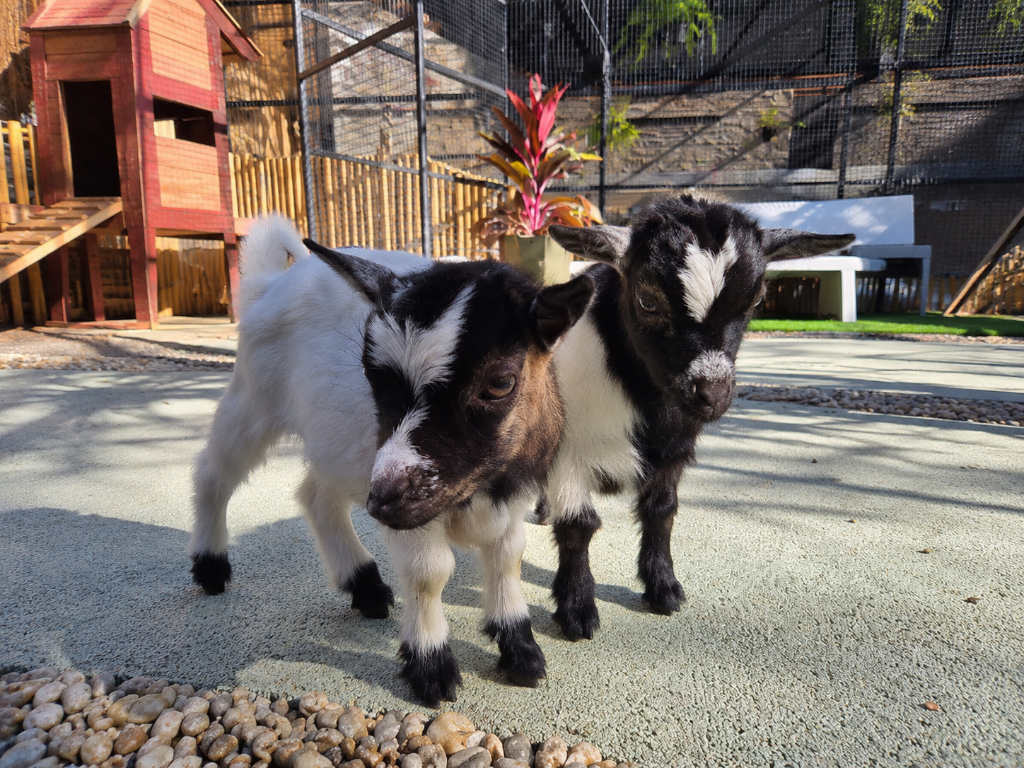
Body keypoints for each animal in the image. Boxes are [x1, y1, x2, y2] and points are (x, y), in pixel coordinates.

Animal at [188, 215, 594, 705]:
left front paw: (520, 650)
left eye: (500, 383)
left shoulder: (510, 496)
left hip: (336, 443)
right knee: (214, 473)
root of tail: (270, 284)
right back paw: (211, 567)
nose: (382, 501)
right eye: (370, 374)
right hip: (254, 398)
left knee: (316, 495)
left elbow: (507, 557)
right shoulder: (411, 513)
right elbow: (429, 573)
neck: (481, 487)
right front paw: (431, 667)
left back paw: (364, 586)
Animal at [540, 194, 855, 641]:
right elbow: (577, 526)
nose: (713, 395)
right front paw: (577, 609)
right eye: (647, 301)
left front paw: (664, 589)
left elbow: (661, 512)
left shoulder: (674, 451)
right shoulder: (569, 453)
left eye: (757, 300)